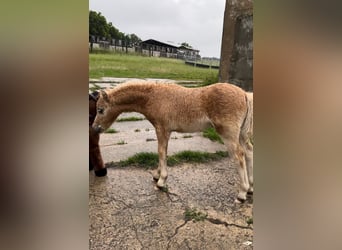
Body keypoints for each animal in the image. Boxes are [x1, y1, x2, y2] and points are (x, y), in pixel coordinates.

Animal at [92, 82, 252, 203]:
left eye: (100, 110)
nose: (95, 128)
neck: (154, 97)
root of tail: (244, 94)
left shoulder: (162, 129)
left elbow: (161, 151)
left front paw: (161, 181)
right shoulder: (165, 131)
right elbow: (163, 152)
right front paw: (157, 175)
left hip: (228, 134)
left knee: (239, 155)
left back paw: (242, 193)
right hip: (241, 134)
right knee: (249, 151)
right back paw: (250, 188)